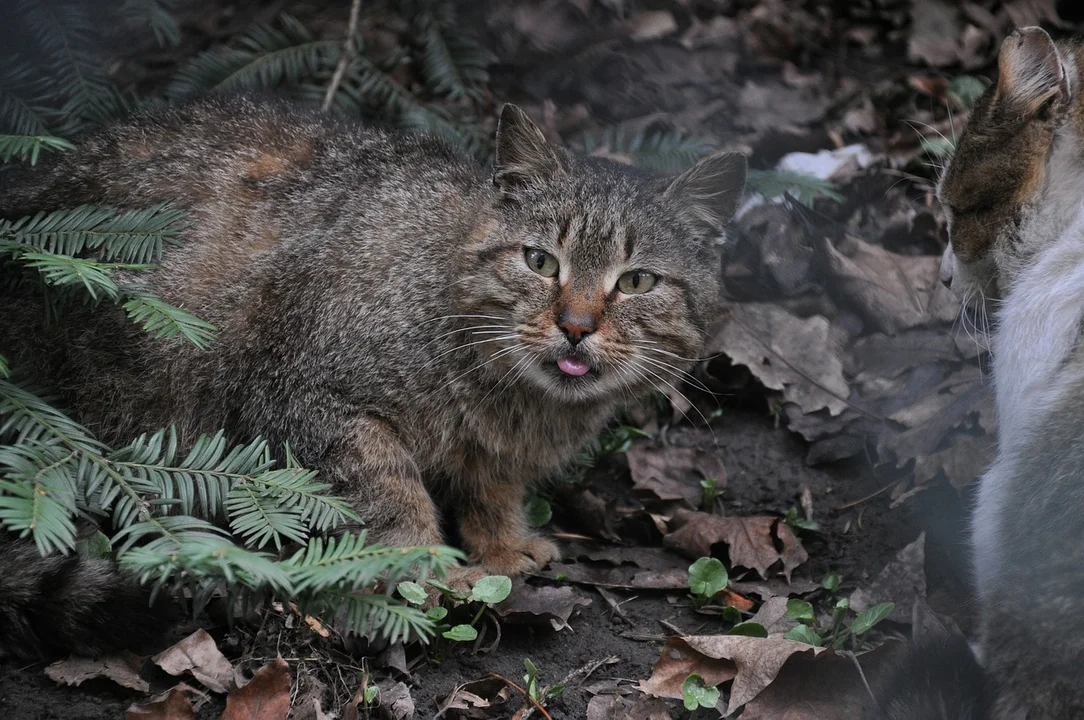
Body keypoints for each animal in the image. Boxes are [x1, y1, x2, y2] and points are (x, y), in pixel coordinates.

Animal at [0, 97, 745, 659]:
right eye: (540, 261)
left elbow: (494, 485)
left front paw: (501, 542)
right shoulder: (305, 399)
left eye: (637, 282)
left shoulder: (499, 451)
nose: (576, 325)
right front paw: (421, 570)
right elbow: (388, 492)